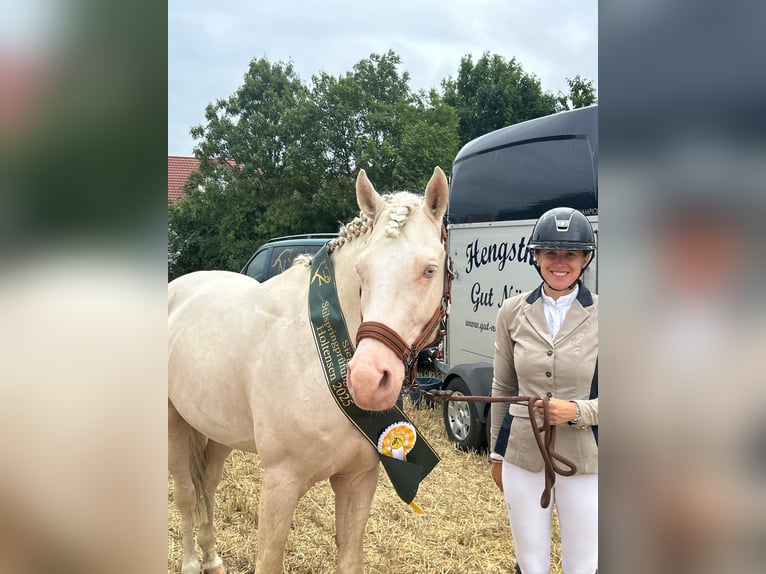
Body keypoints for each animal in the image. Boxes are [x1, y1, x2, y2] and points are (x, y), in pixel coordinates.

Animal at [168, 167, 450, 574]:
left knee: (207, 484)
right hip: (174, 422)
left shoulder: (358, 480)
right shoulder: (280, 483)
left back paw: (212, 558)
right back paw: (191, 561)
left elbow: (349, 559)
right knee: (187, 493)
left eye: (430, 269)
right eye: (362, 270)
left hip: (216, 429)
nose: (367, 380)